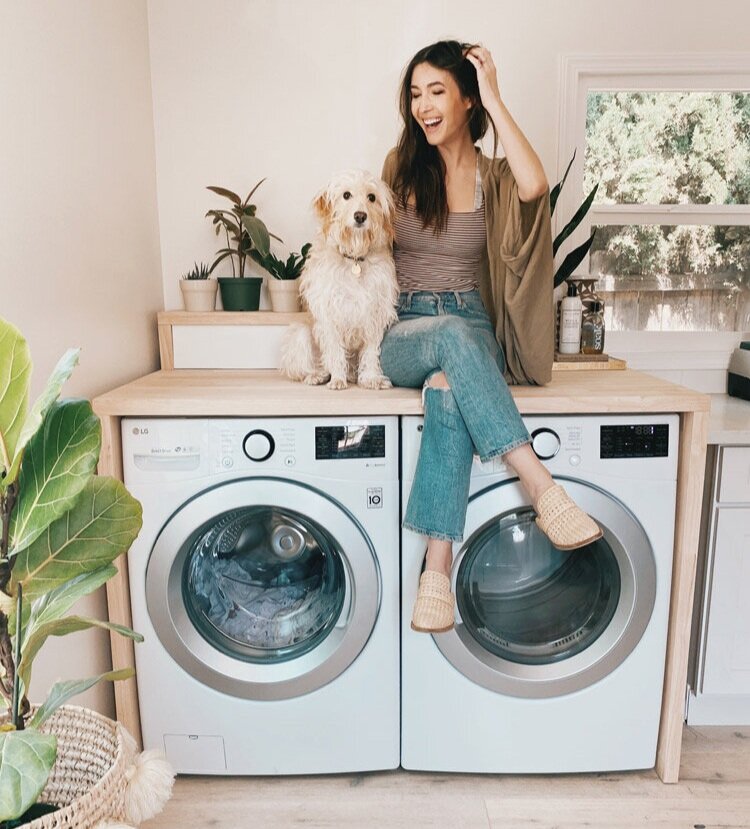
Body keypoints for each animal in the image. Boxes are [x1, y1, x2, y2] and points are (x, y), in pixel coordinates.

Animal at [280, 169, 400, 392]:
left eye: (372, 197)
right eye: (346, 195)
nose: (360, 216)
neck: (354, 259)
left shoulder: (375, 313)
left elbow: (370, 352)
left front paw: (371, 378)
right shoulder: (329, 313)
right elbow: (335, 351)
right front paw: (337, 379)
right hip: (300, 334)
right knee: (313, 364)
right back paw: (318, 375)